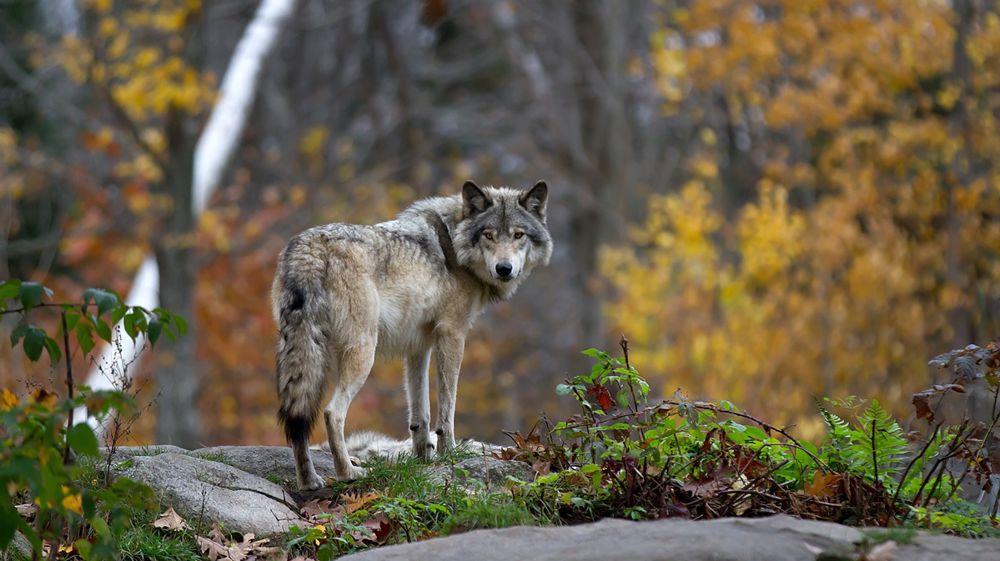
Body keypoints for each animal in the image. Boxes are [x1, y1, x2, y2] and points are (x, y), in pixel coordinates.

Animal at [273, 180, 552, 489]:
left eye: (518, 235)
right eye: (488, 235)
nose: (504, 269)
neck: (454, 244)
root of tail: (309, 248)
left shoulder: (418, 346)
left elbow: (420, 413)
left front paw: (423, 459)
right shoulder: (452, 335)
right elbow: (447, 408)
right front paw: (447, 454)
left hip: (301, 351)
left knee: (297, 419)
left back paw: (309, 481)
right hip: (363, 353)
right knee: (332, 413)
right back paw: (349, 473)